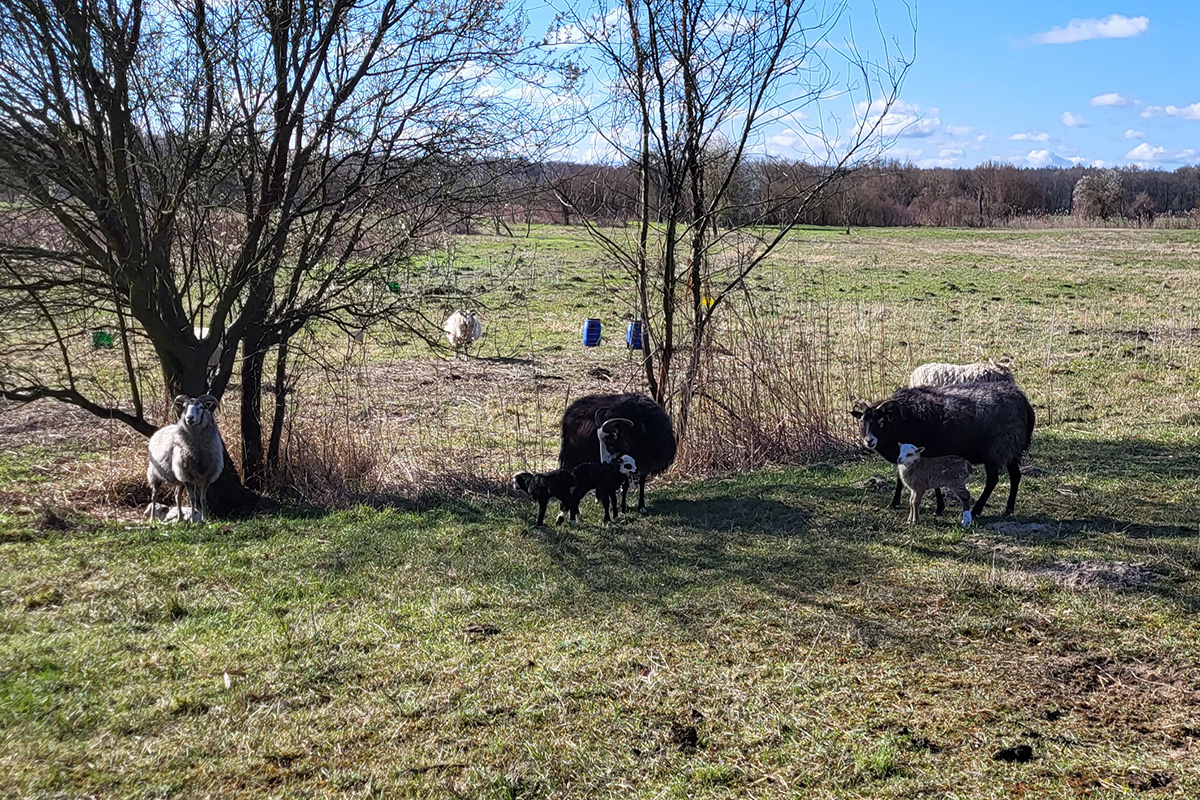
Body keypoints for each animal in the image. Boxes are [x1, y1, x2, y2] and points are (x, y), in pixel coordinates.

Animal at [147, 395, 225, 525]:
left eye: (201, 407)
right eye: (184, 407)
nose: (189, 418)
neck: (197, 452)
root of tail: (161, 429)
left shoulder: (206, 477)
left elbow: (202, 499)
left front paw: (204, 520)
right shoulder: (187, 477)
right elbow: (192, 499)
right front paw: (193, 520)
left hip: (179, 479)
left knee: (177, 496)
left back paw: (180, 519)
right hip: (155, 474)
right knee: (154, 495)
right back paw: (152, 519)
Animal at [849, 381, 1036, 520]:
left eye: (881, 421)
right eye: (862, 421)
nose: (869, 441)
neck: (901, 421)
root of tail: (1024, 402)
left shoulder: (926, 452)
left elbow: (933, 481)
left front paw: (939, 508)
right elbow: (900, 478)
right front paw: (894, 502)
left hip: (996, 450)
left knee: (992, 480)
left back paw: (976, 510)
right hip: (1011, 450)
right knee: (1015, 476)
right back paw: (1008, 509)